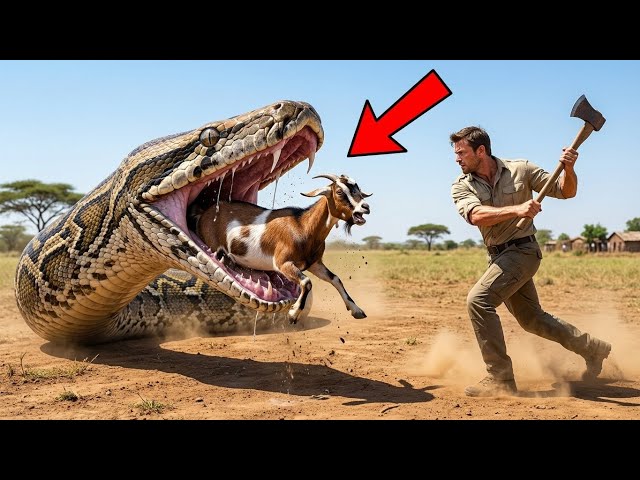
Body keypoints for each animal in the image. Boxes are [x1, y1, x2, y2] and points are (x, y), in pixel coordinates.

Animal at [192, 173, 372, 324]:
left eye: (358, 189)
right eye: (340, 191)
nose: (365, 207)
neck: (303, 226)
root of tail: (204, 213)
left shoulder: (314, 264)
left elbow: (335, 279)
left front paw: (357, 310)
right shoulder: (282, 263)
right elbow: (307, 282)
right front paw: (293, 314)